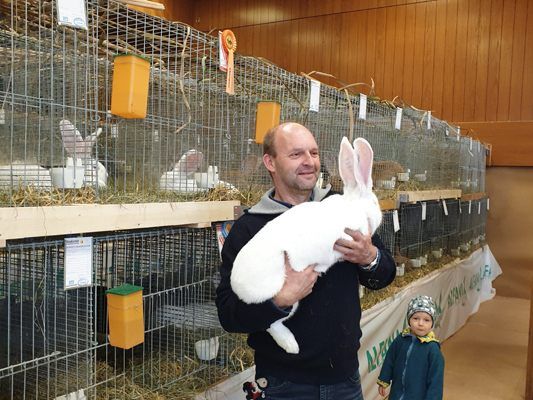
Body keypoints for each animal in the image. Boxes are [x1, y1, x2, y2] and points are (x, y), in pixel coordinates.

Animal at [231, 137, 380, 354]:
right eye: (376, 203)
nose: (379, 215)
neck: (354, 205)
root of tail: (237, 287)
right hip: (285, 299)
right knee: (271, 324)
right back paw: (291, 345)